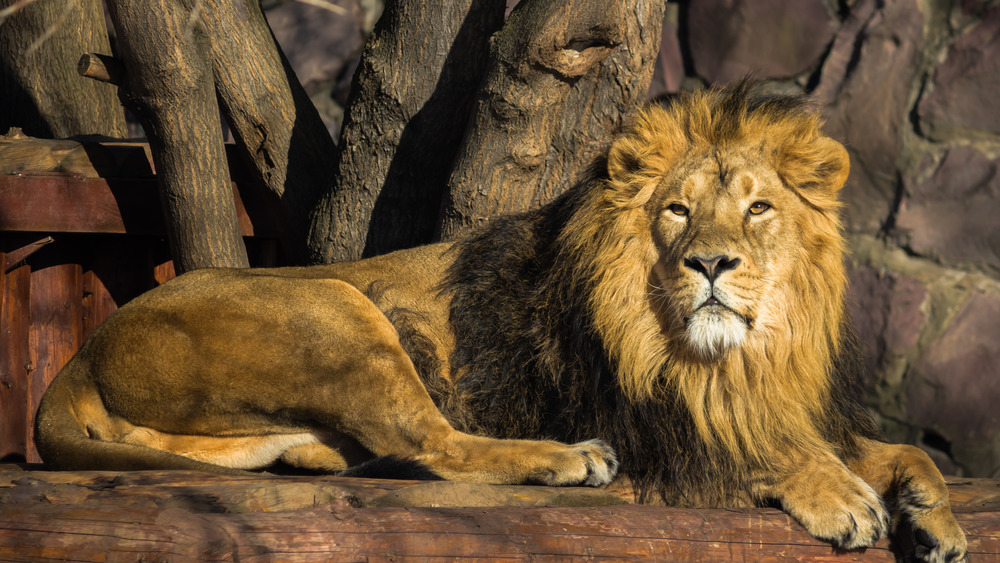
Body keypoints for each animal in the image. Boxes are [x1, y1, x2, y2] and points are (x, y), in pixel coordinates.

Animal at [37, 81, 968, 560]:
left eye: (759, 208)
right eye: (675, 210)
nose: (710, 263)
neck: (735, 359)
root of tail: (84, 353)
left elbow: (894, 447)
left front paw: (934, 512)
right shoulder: (658, 420)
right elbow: (755, 450)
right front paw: (844, 497)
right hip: (338, 305)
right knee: (434, 442)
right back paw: (570, 458)